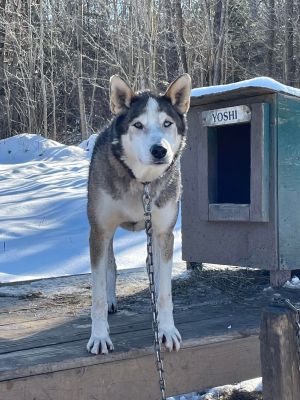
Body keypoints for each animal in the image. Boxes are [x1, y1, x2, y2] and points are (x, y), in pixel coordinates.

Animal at [86, 73, 191, 354]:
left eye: (167, 123)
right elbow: (98, 295)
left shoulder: (164, 234)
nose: (159, 150)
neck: (141, 181)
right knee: (110, 266)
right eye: (138, 125)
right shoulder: (99, 231)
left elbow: (165, 293)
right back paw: (111, 301)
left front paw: (166, 330)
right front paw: (99, 336)